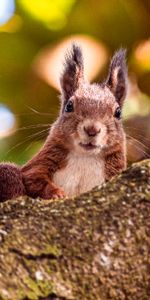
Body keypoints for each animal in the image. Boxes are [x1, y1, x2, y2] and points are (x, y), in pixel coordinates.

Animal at [0, 44, 127, 202]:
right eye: (69, 106)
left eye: (118, 113)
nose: (91, 129)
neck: (85, 157)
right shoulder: (41, 163)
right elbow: (34, 178)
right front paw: (57, 193)